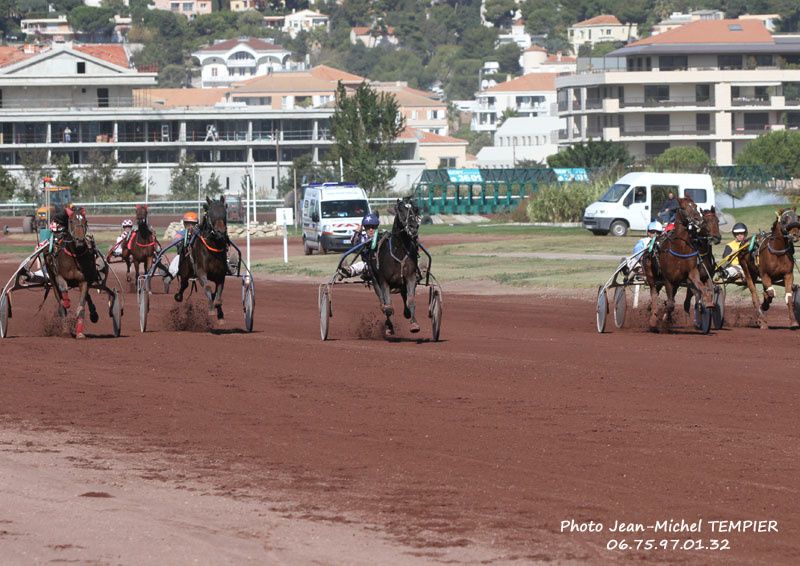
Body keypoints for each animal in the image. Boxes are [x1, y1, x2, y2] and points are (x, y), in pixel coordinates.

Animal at [370, 197, 422, 338]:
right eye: (401, 210)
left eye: (416, 209)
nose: (413, 226)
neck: (398, 251)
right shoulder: (384, 281)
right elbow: (388, 307)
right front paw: (389, 327)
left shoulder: (410, 276)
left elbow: (410, 300)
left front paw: (414, 324)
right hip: (375, 281)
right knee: (383, 302)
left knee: (404, 295)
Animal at [644, 200, 720, 332]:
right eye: (706, 222)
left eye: (718, 221)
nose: (716, 237)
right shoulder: (671, 279)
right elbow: (673, 302)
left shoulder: (699, 276)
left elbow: (703, 290)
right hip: (652, 276)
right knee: (654, 293)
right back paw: (654, 318)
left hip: (674, 281)